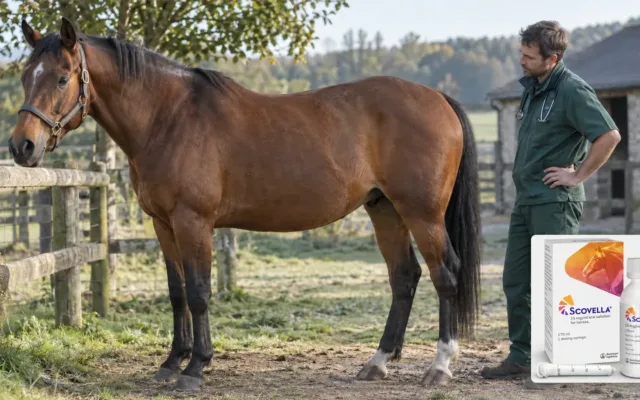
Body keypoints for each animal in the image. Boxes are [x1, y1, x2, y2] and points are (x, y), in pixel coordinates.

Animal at [8, 17, 481, 392]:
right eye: (25, 76)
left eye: (62, 78)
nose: (21, 147)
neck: (168, 118)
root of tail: (438, 99)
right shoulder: (164, 225)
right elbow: (176, 293)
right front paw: (170, 363)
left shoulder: (193, 222)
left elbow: (199, 293)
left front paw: (196, 368)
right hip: (385, 209)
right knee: (404, 277)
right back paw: (378, 362)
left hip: (422, 214)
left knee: (445, 275)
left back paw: (440, 366)